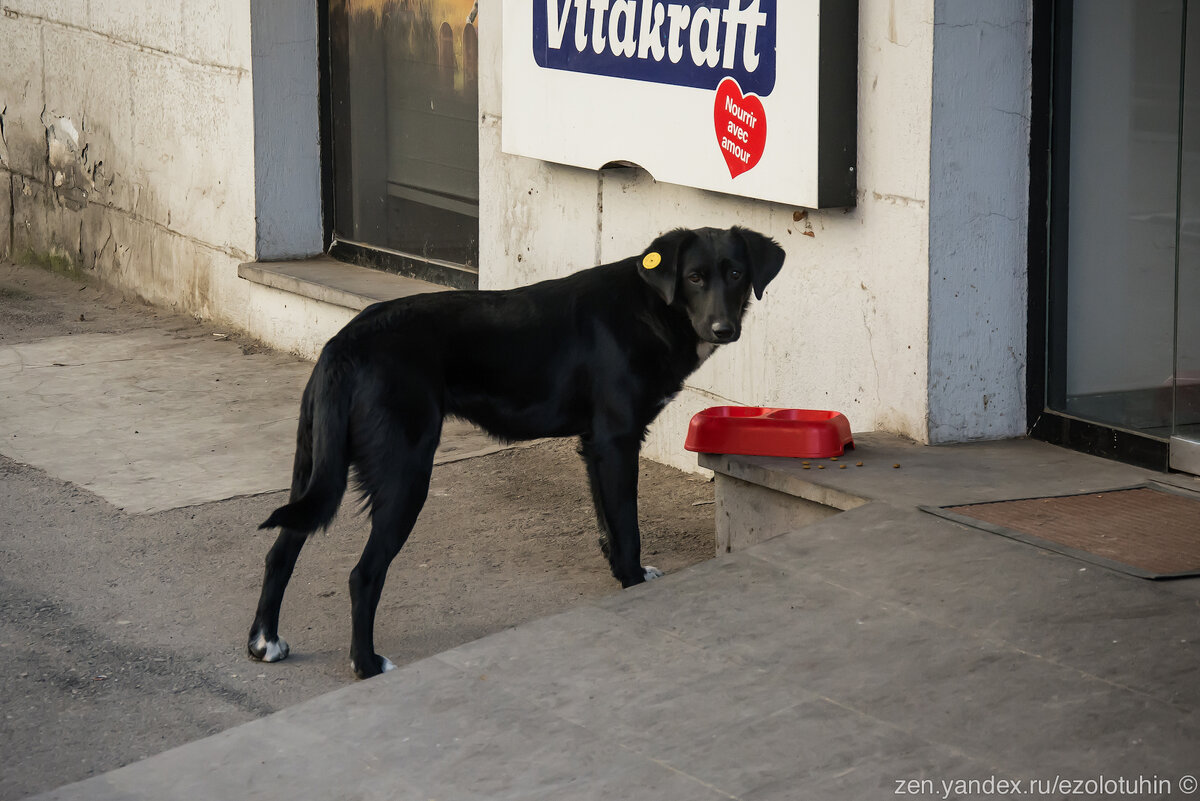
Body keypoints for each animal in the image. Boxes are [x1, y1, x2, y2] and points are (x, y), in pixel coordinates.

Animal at [248, 225, 782, 676]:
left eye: (736, 273)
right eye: (694, 277)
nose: (723, 329)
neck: (651, 305)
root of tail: (344, 344)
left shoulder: (594, 447)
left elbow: (608, 526)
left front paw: (619, 574)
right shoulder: (617, 441)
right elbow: (627, 528)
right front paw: (632, 582)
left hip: (313, 469)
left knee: (280, 552)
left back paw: (264, 641)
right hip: (405, 475)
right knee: (362, 575)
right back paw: (367, 664)